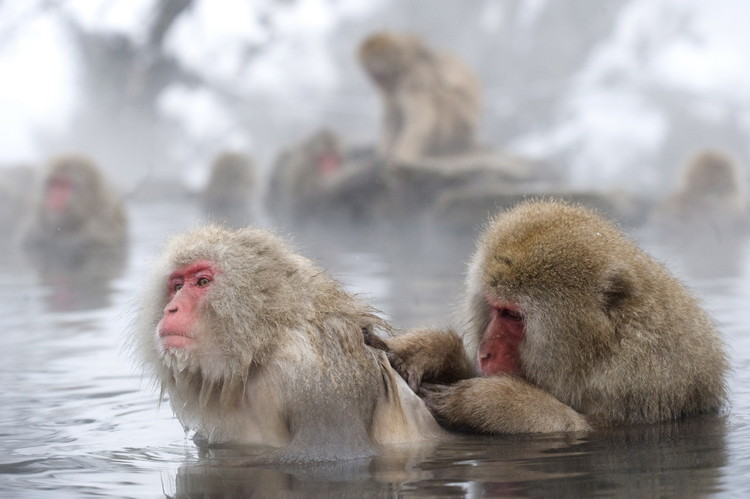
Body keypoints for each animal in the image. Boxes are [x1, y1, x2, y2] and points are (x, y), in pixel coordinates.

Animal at [132, 226, 444, 460]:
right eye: (176, 286)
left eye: (202, 282)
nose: (171, 309)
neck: (260, 349)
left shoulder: (316, 383)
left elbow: (330, 458)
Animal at [374, 201, 732, 436]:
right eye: (494, 308)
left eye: (512, 315)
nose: (486, 352)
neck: (600, 348)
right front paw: (432, 351)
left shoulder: (642, 378)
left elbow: (585, 428)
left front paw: (487, 403)